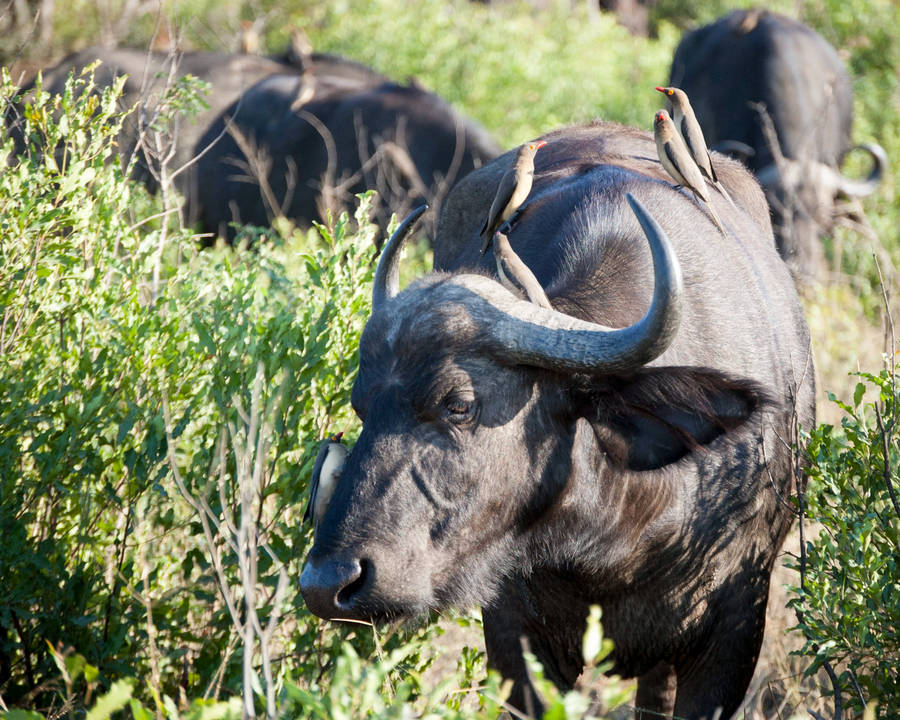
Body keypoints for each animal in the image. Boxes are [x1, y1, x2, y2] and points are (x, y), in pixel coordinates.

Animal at [300, 122, 815, 718]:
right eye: (362, 405)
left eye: (459, 403)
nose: (328, 583)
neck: (609, 539)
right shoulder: (513, 634)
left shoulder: (733, 633)